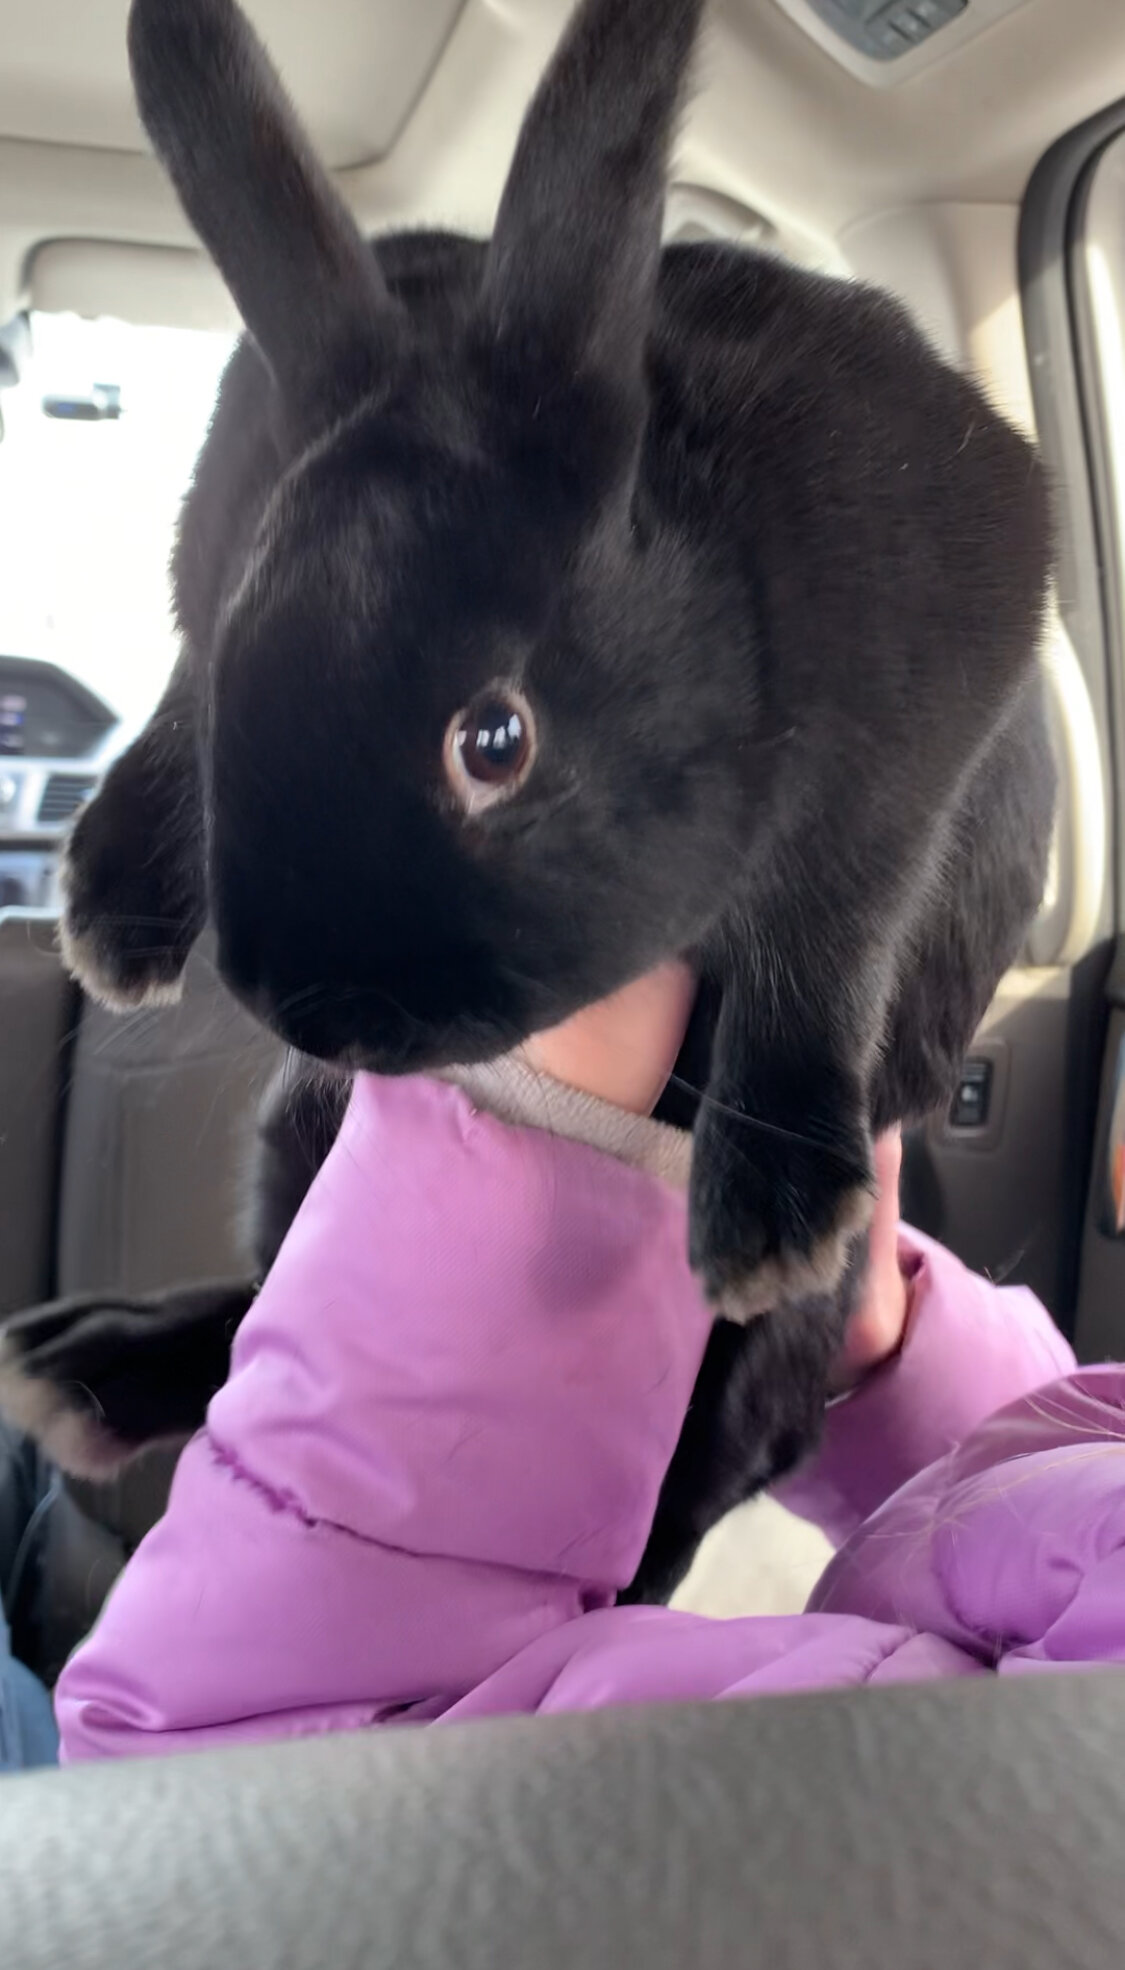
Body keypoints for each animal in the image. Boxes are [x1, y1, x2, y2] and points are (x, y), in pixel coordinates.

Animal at [0, 0, 1055, 1604]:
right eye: (250, 671)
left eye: (493, 739)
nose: (314, 1014)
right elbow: (174, 700)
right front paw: (113, 911)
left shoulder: (927, 696)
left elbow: (835, 903)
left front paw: (771, 1206)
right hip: (291, 1156)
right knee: (264, 1309)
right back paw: (81, 1363)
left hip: (757, 1368)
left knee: (717, 1453)